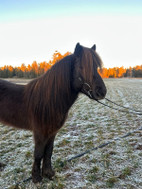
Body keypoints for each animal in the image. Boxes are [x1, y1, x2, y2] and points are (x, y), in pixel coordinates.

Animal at [0, 43, 106, 183]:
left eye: (96, 67)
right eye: (82, 67)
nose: (102, 92)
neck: (48, 100)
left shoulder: (52, 132)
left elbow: (48, 151)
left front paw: (48, 173)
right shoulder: (40, 133)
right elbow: (38, 153)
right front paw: (36, 177)